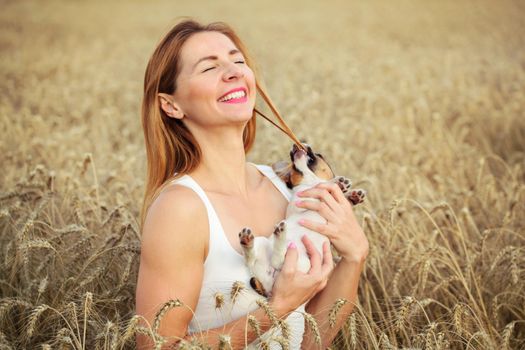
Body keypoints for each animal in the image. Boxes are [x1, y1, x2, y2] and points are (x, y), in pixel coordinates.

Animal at [237, 142, 364, 298]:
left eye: (319, 155)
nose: (298, 144)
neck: (308, 180)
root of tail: (267, 285)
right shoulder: (302, 198)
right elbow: (320, 187)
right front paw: (338, 183)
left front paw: (353, 195)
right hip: (298, 261)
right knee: (276, 261)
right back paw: (279, 235)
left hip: (276, 252)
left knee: (254, 260)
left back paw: (248, 240)